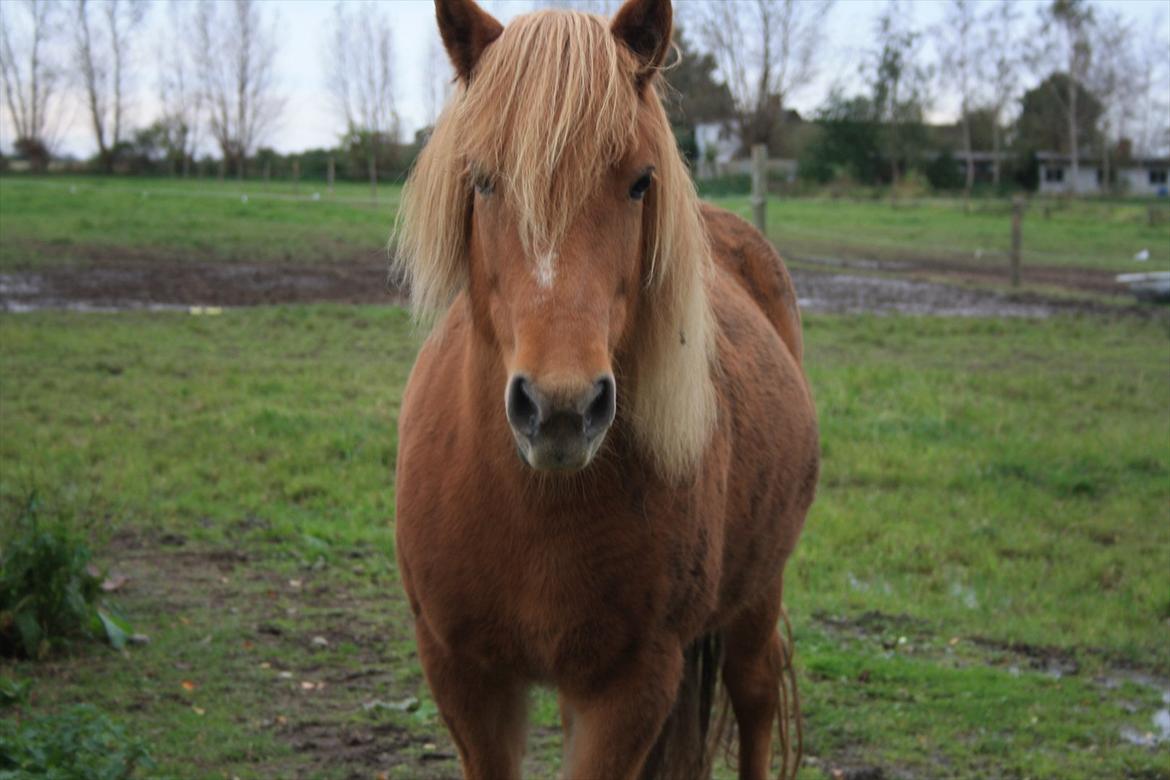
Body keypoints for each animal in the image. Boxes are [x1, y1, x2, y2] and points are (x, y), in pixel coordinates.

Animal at [393, 1, 823, 776]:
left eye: (640, 180)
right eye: (482, 180)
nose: (559, 410)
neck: (532, 508)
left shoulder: (632, 684)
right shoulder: (463, 676)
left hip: (757, 595)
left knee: (755, 698)